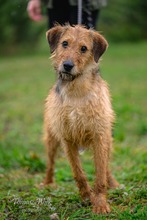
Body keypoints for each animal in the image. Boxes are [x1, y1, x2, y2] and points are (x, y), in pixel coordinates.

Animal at [43, 24, 119, 214]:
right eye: (64, 43)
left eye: (84, 48)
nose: (67, 65)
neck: (76, 91)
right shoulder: (67, 139)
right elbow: (79, 173)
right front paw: (86, 197)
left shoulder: (100, 137)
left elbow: (100, 175)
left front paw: (100, 203)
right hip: (51, 139)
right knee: (50, 164)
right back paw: (47, 183)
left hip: (108, 139)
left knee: (106, 167)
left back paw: (113, 183)